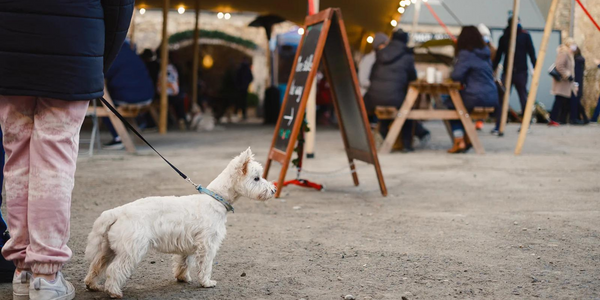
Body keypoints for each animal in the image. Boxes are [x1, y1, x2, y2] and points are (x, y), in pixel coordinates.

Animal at [84, 149, 274, 298]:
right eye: (256, 178)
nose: (273, 190)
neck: (216, 199)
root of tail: (117, 212)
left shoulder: (188, 244)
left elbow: (183, 262)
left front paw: (182, 278)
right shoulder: (208, 244)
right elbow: (206, 265)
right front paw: (207, 282)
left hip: (108, 249)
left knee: (96, 265)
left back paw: (92, 285)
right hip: (131, 251)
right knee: (114, 270)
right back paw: (114, 292)